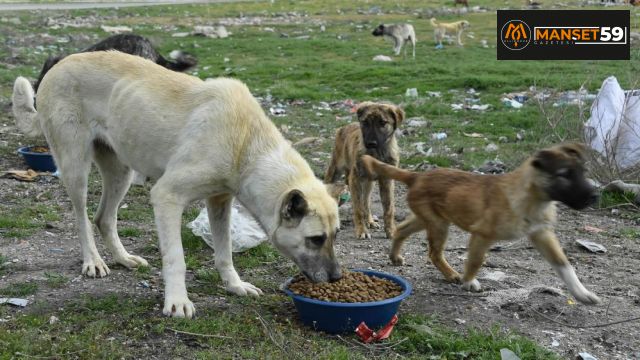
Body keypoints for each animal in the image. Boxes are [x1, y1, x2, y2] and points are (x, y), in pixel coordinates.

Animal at [11, 50, 340, 318]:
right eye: (315, 239)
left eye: (335, 234)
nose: (337, 277)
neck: (246, 144)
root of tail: (58, 66)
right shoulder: (167, 197)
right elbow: (176, 258)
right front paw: (177, 302)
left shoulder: (219, 201)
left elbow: (225, 253)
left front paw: (234, 286)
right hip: (76, 167)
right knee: (82, 219)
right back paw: (93, 261)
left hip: (121, 172)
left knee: (103, 218)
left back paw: (123, 258)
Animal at [324, 102, 404, 240]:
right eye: (365, 122)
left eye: (382, 123)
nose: (371, 143)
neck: (377, 154)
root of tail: (344, 127)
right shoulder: (355, 179)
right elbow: (358, 208)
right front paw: (361, 230)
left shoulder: (387, 180)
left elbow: (389, 208)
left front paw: (391, 231)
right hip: (335, 170)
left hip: (368, 183)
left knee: (366, 202)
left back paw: (370, 221)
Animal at [362, 142, 604, 306]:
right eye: (564, 175)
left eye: (582, 172)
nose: (595, 197)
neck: (531, 198)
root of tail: (417, 176)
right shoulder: (482, 234)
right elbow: (476, 260)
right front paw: (469, 282)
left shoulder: (542, 234)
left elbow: (564, 265)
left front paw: (582, 293)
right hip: (438, 224)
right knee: (433, 252)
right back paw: (451, 274)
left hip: (430, 218)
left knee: (401, 230)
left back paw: (395, 256)